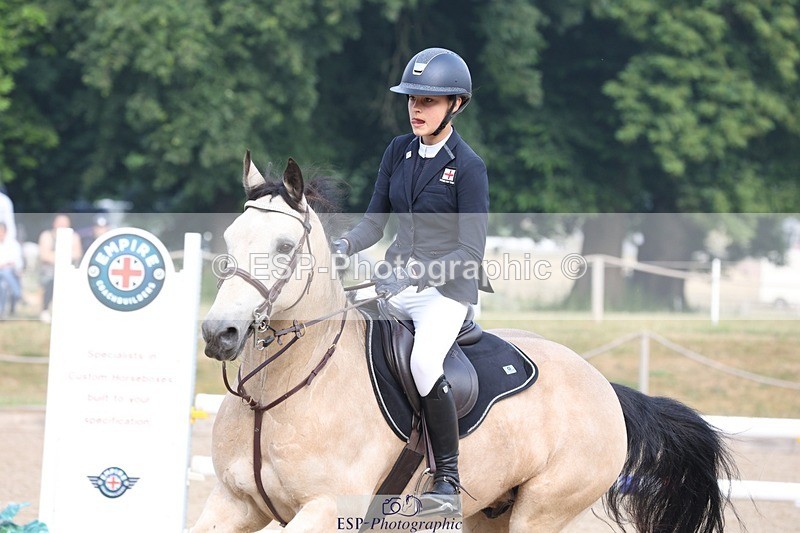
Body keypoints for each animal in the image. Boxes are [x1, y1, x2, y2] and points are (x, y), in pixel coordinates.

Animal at [193, 154, 739, 533]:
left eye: (285, 247)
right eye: (230, 238)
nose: (220, 332)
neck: (274, 396)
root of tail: (605, 385)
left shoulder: (327, 508)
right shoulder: (231, 502)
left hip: (541, 511)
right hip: (491, 511)